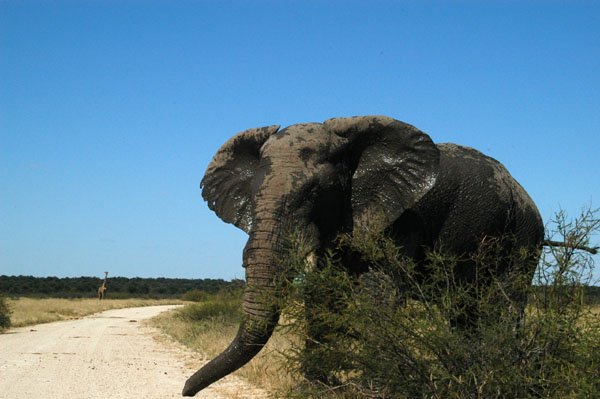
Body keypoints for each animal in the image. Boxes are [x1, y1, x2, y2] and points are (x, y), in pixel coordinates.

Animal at [182, 115, 544, 396]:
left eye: (313, 192)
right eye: (254, 195)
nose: (186, 390)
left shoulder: (399, 217)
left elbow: (379, 293)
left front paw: (373, 390)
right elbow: (322, 293)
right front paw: (311, 389)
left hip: (524, 235)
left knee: (501, 307)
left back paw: (501, 378)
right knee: (464, 314)